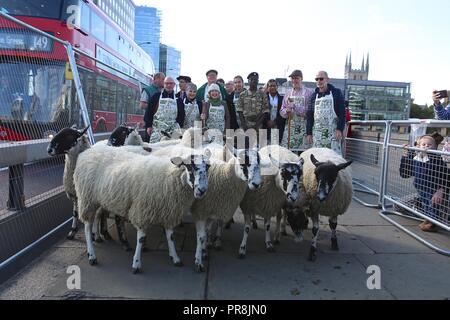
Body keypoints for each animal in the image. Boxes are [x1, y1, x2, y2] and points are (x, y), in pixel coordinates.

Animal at [74, 144, 211, 272]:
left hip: (101, 200)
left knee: (98, 217)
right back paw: (92, 255)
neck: (169, 176)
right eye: (190, 166)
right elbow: (140, 238)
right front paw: (136, 263)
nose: (202, 190)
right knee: (87, 226)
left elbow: (170, 237)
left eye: (208, 167)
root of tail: (87, 151)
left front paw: (175, 258)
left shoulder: (168, 212)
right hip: (87, 199)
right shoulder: (142, 211)